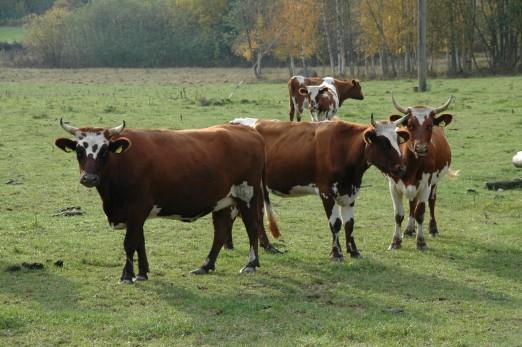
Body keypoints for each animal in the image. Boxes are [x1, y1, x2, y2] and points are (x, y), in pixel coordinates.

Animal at [54, 119, 278, 282]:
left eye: (104, 151)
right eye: (79, 151)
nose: (89, 178)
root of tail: (248, 131)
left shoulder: (137, 208)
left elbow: (130, 242)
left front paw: (127, 275)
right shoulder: (136, 213)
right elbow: (140, 241)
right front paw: (142, 273)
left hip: (247, 195)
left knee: (252, 226)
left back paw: (250, 264)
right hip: (222, 200)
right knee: (221, 231)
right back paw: (205, 266)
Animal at [225, 117, 408, 260]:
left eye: (398, 141)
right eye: (384, 142)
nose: (401, 169)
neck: (344, 148)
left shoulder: (350, 192)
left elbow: (349, 224)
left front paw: (354, 251)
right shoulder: (326, 192)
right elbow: (336, 223)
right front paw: (336, 254)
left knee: (253, 215)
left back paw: (263, 246)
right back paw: (231, 245)